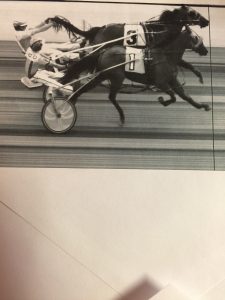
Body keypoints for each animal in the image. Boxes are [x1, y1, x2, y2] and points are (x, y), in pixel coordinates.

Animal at [61, 27, 209, 123]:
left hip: (102, 75)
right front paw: (163, 100)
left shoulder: (172, 80)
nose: (205, 50)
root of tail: (104, 51)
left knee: (85, 89)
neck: (165, 55)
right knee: (111, 96)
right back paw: (122, 116)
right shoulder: (160, 82)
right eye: (195, 37)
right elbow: (173, 97)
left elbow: (185, 96)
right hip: (117, 77)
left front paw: (202, 106)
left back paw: (71, 102)